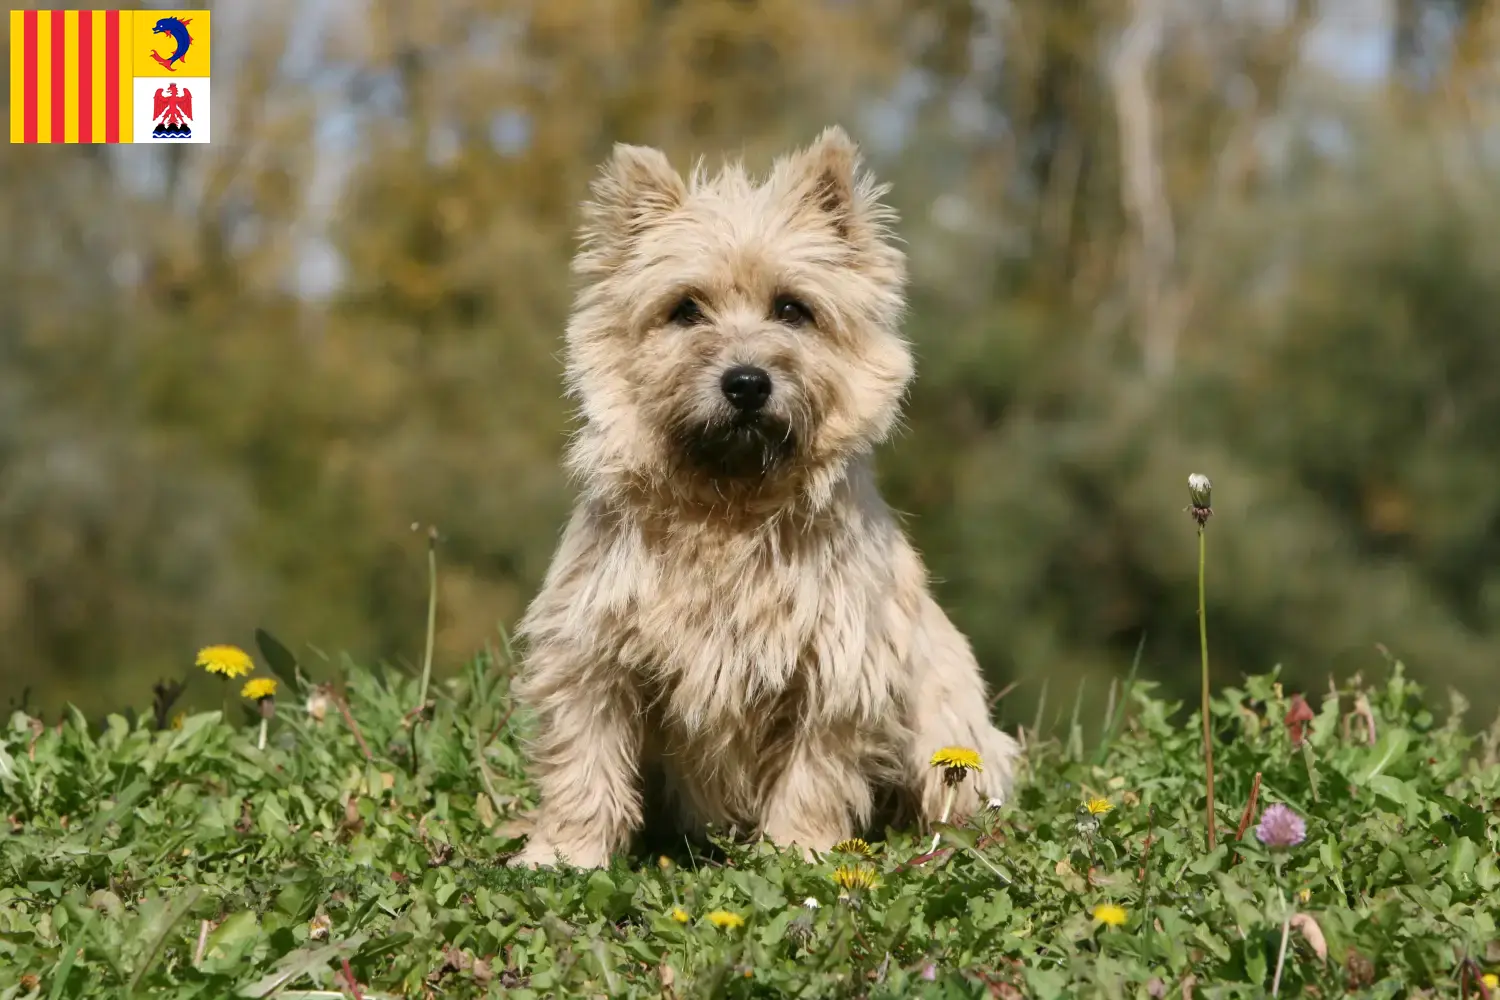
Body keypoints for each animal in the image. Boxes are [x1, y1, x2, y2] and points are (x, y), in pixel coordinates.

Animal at [507, 127, 1020, 869]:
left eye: (792, 309)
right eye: (685, 310)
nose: (746, 382)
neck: (728, 507)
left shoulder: (836, 672)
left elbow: (813, 774)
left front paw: (798, 852)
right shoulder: (593, 656)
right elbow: (585, 760)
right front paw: (563, 854)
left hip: (947, 732)